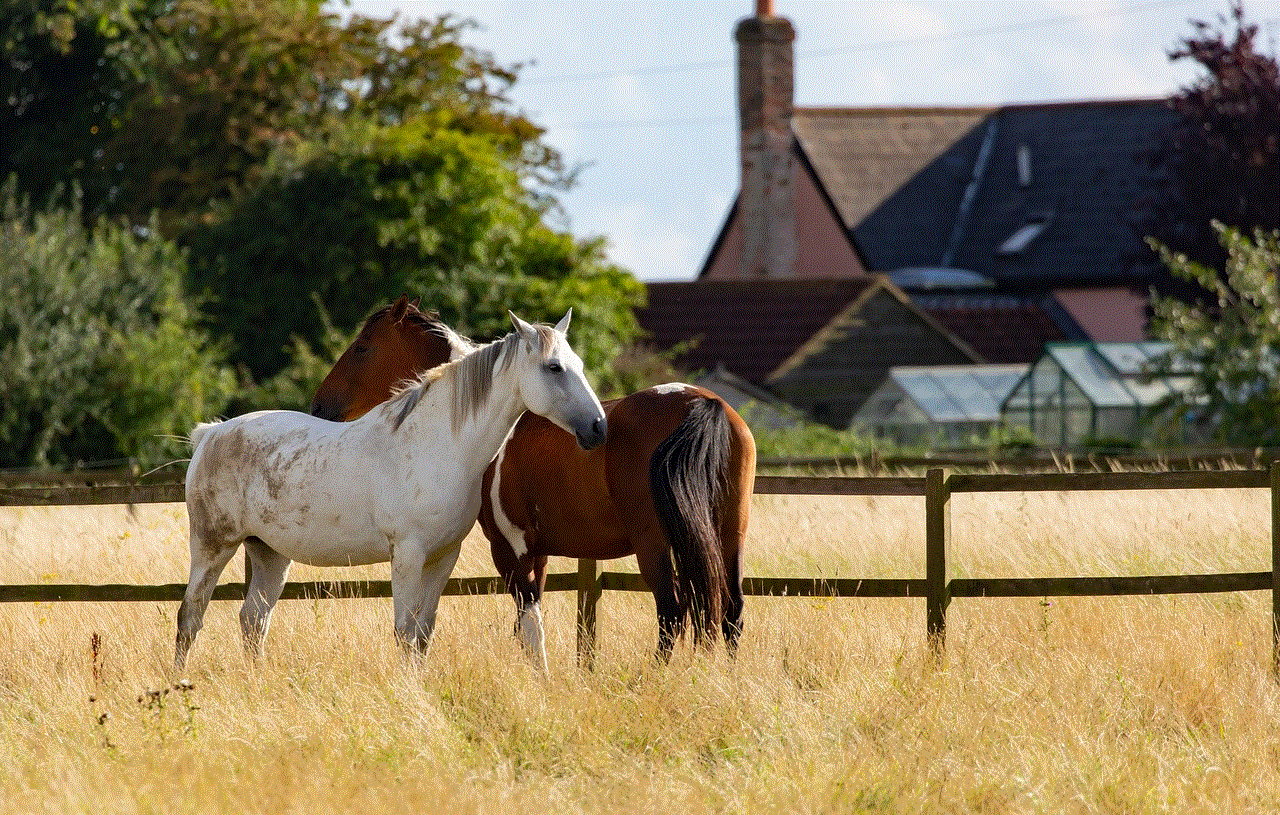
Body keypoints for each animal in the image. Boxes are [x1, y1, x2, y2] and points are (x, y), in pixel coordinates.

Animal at [174, 310, 604, 665]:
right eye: (553, 367)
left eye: (580, 365)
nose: (598, 427)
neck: (439, 444)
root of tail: (211, 434)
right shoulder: (408, 555)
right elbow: (404, 633)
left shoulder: (442, 557)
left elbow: (424, 634)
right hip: (212, 547)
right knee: (190, 617)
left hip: (269, 555)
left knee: (253, 621)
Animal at [311, 295, 752, 665]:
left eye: (362, 347)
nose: (320, 405)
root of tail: (702, 402)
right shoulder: (537, 552)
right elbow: (527, 626)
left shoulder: (509, 548)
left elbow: (528, 623)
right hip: (728, 536)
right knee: (729, 612)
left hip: (655, 543)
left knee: (672, 613)